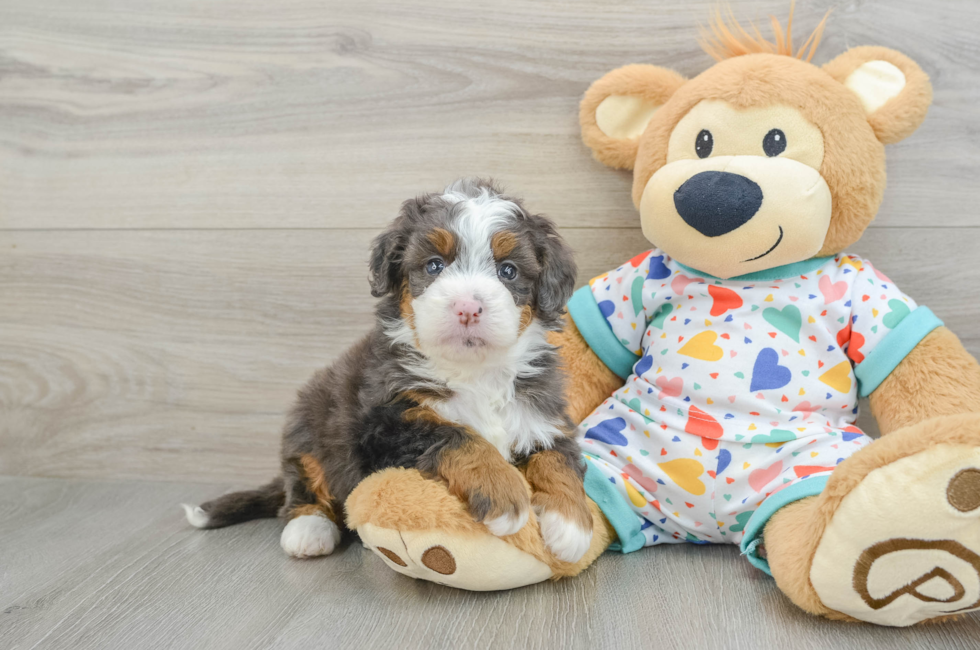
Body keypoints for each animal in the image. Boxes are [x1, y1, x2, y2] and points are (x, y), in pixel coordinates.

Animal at [185, 177, 596, 560]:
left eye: (508, 271)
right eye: (434, 265)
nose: (467, 307)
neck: (475, 373)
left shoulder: (541, 413)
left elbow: (558, 457)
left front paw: (572, 523)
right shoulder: (385, 423)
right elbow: (458, 436)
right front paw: (503, 491)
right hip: (309, 419)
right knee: (304, 480)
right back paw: (308, 529)